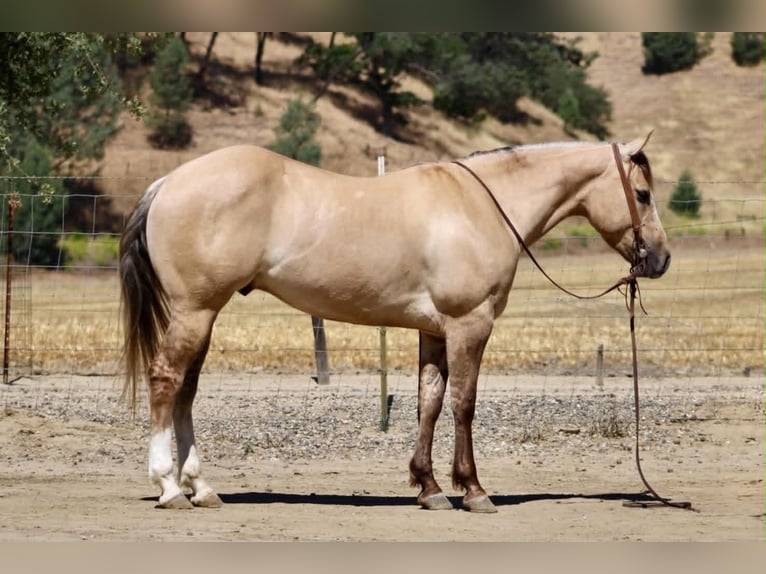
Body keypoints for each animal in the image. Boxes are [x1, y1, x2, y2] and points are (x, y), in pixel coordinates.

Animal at [119, 132, 670, 513]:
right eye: (642, 193)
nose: (661, 259)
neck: (482, 205)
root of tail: (167, 183)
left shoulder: (434, 331)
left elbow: (429, 402)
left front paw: (429, 488)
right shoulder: (470, 325)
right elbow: (463, 404)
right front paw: (473, 490)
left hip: (205, 314)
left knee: (187, 389)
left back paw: (201, 488)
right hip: (195, 310)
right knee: (166, 379)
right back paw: (168, 486)